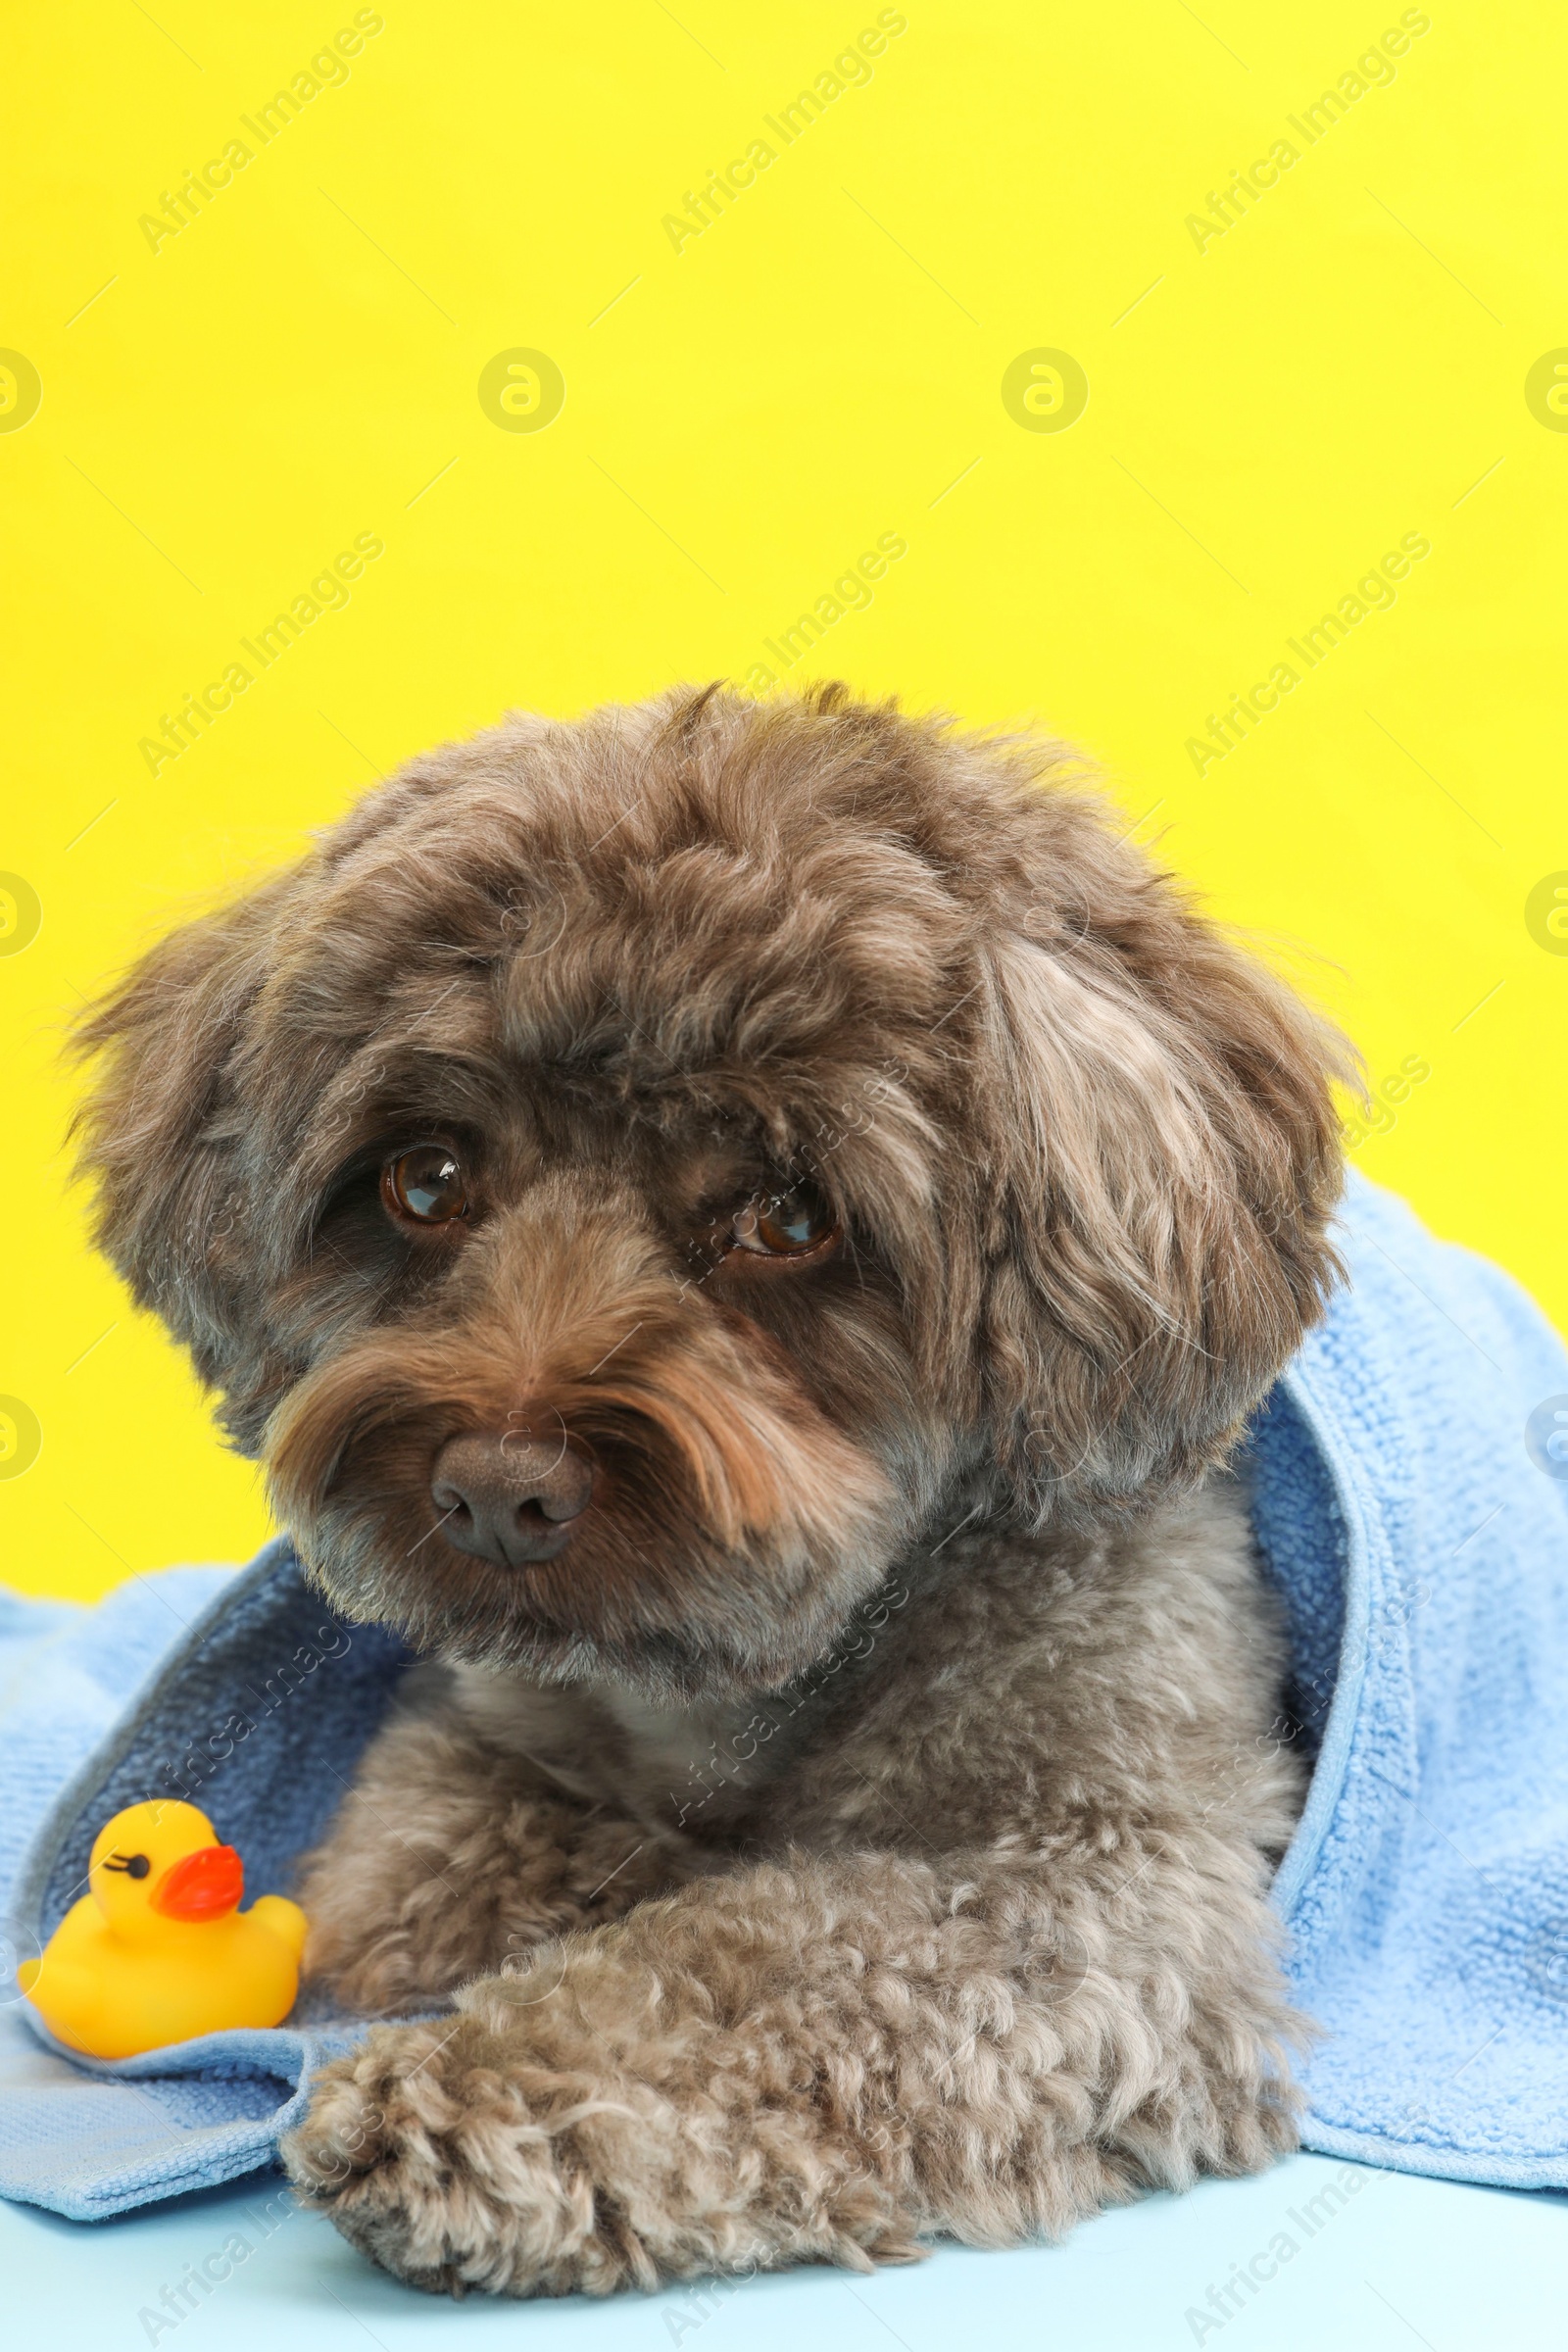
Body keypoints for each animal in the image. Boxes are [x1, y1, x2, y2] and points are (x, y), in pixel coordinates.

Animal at [73, 682, 1353, 2295]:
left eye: (789, 1215)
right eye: (426, 1180)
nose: (494, 1493)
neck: (754, 1681)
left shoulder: (1100, 1880)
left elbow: (763, 1964)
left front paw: (480, 2095)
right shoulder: (477, 1748)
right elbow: (417, 1872)